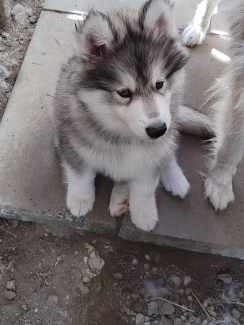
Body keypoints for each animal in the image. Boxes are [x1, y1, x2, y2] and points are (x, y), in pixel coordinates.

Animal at [53, 0, 191, 230]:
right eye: (124, 93)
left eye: (159, 84)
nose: (157, 129)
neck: (124, 134)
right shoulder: (73, 144)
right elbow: (80, 174)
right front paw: (80, 199)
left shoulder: (151, 156)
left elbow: (144, 187)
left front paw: (143, 212)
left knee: (168, 151)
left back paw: (174, 179)